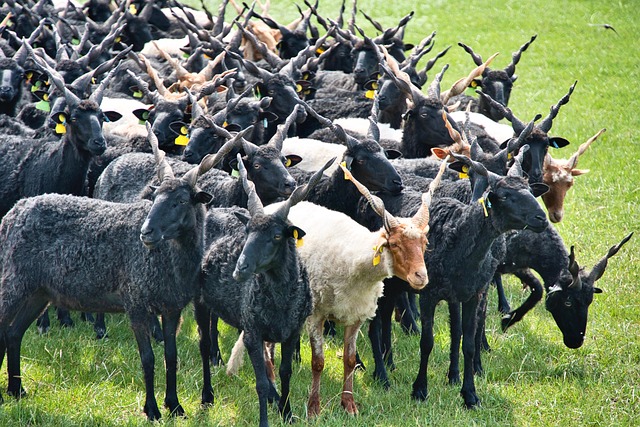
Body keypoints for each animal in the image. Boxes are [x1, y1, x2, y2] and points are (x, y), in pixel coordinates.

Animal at [0, 124, 242, 420]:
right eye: (155, 197)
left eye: (182, 200)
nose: (146, 232)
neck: (170, 264)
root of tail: (12, 213)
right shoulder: (135, 300)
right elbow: (148, 358)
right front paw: (152, 409)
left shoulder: (172, 306)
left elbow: (171, 356)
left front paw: (175, 406)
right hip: (14, 280)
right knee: (3, 329)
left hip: (38, 291)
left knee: (14, 333)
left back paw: (17, 390)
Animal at [195, 154, 333, 427]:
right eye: (248, 231)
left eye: (277, 235)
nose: (240, 268)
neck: (281, 302)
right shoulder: (253, 332)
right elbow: (259, 383)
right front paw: (265, 419)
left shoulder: (292, 331)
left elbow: (285, 372)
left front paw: (286, 412)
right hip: (199, 300)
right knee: (204, 346)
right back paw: (207, 397)